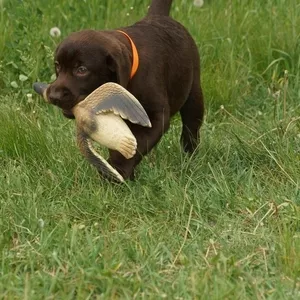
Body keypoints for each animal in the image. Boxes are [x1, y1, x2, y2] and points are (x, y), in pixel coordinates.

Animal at [46, 0, 204, 180]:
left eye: (81, 70)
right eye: (58, 66)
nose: (53, 95)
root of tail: (159, 16)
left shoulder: (155, 116)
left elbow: (138, 143)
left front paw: (117, 169)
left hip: (193, 94)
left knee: (191, 128)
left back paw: (189, 157)